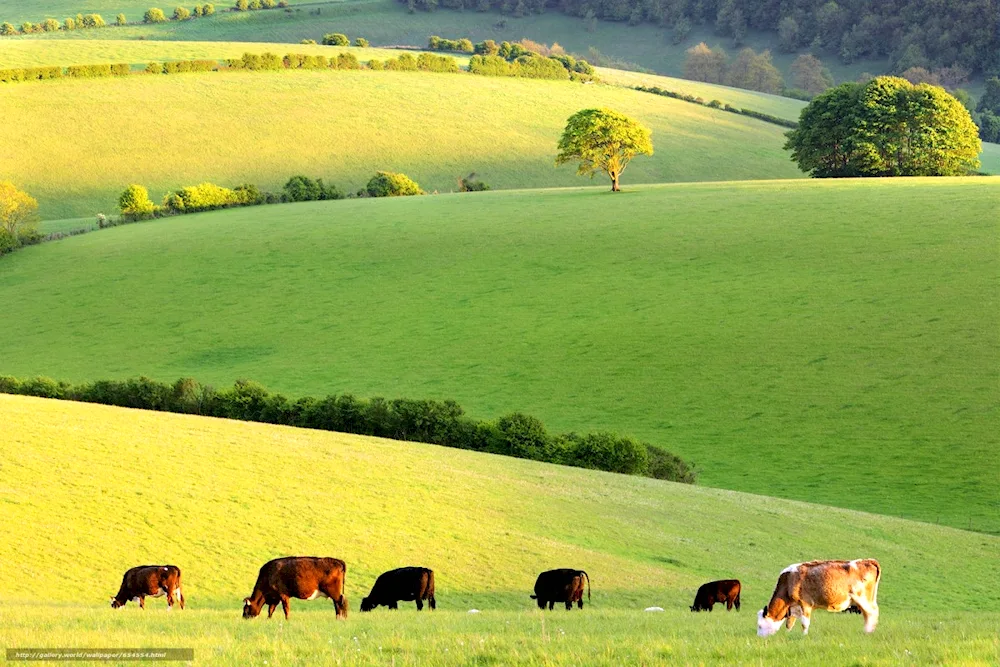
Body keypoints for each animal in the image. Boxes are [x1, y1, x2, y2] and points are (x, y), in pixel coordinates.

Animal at [756, 560, 884, 636]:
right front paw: (788, 634)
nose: (759, 637)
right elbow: (789, 624)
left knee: (871, 613)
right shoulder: (793, 608)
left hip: (862, 598)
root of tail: (868, 561)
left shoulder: (805, 603)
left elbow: (804, 623)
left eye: (760, 625)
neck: (788, 581)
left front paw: (804, 636)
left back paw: (868, 632)